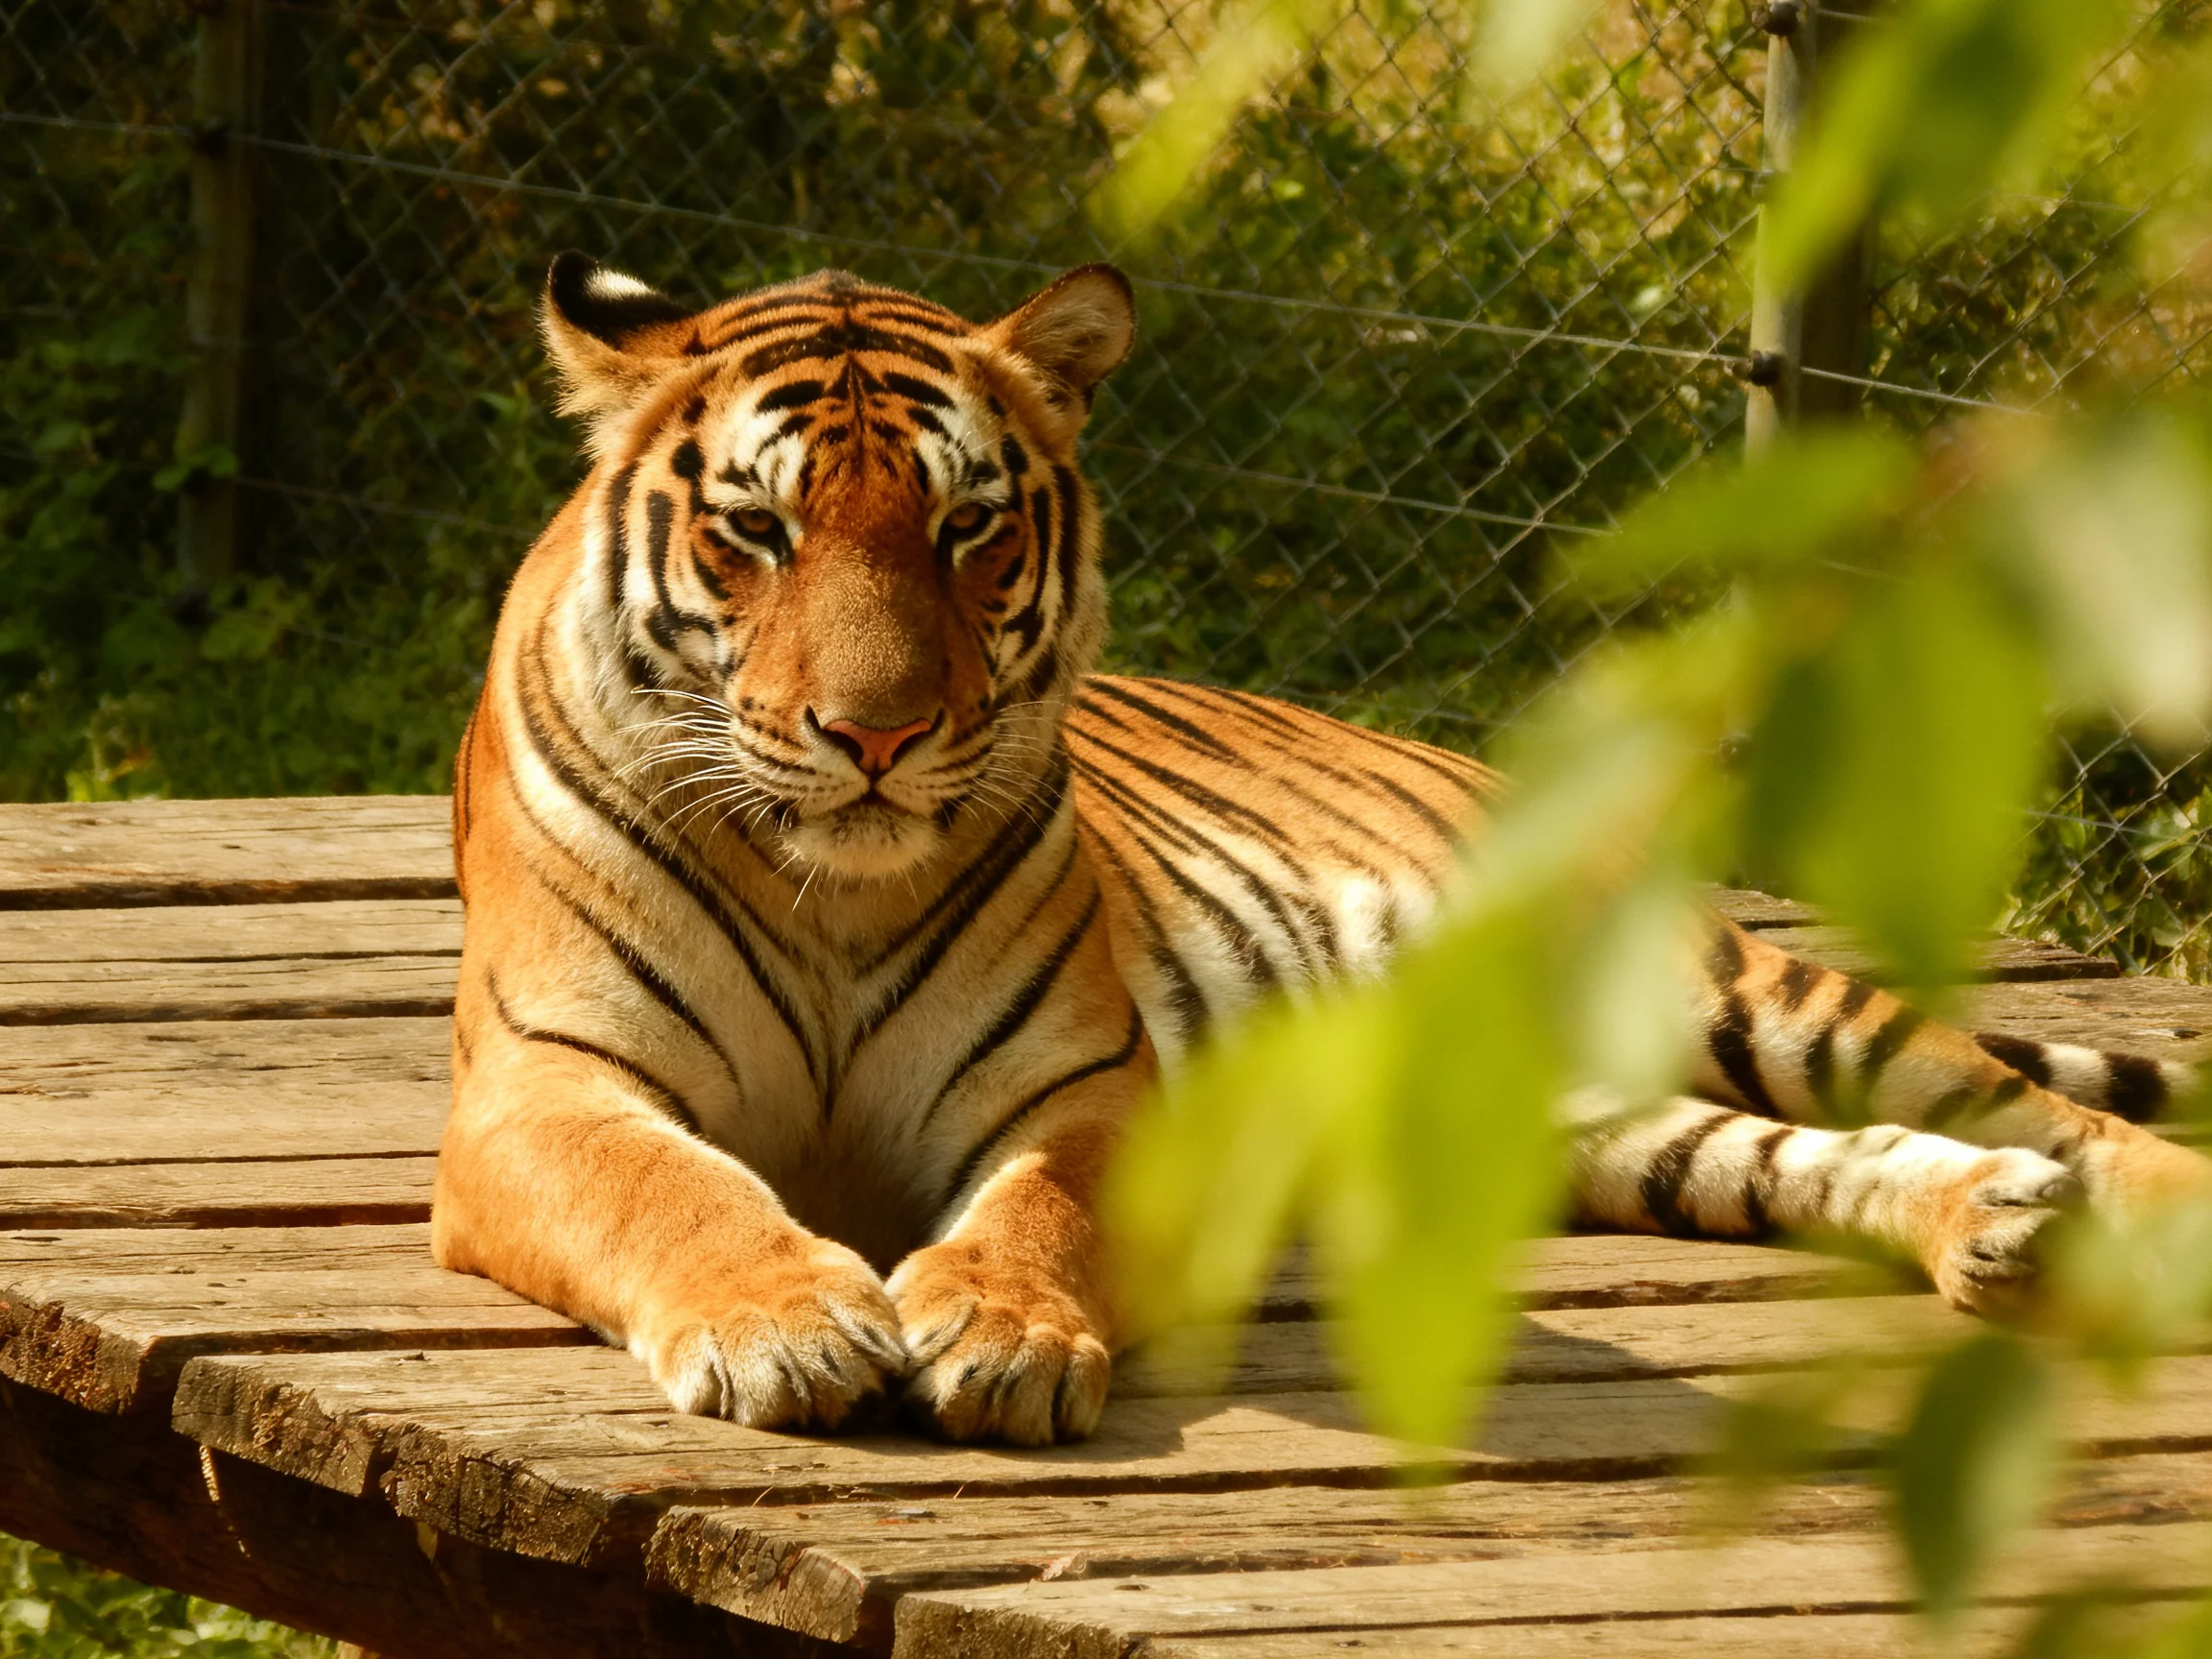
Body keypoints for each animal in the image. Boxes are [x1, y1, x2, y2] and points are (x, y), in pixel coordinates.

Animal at [431, 253, 2211, 1449]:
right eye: (757, 530)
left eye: (965, 526)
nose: (874, 734)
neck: (830, 890)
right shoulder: (542, 1086)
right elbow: (665, 1185)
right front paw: (790, 1322)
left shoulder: (1085, 1090)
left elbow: (1037, 1209)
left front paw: (1000, 1330)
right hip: (1566, 1107)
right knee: (1793, 1155)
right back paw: (1995, 1221)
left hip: (1717, 982)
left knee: (2027, 1103)